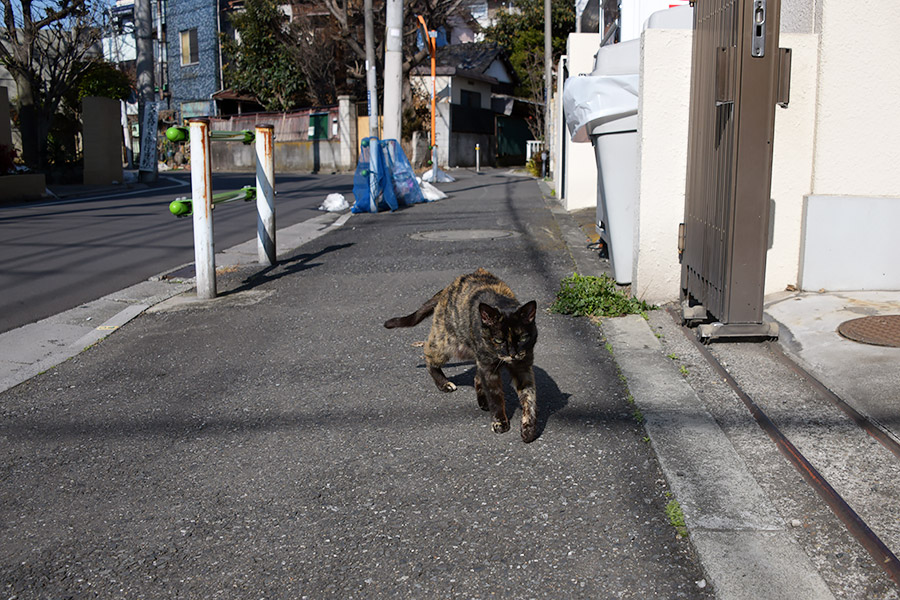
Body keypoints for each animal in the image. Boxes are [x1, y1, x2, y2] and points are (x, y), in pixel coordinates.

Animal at [384, 270, 536, 442]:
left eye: (523, 338)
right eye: (498, 340)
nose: (513, 354)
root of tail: (448, 288)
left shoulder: (523, 367)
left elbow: (529, 397)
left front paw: (529, 428)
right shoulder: (489, 369)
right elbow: (496, 396)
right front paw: (500, 422)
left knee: (476, 376)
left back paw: (482, 401)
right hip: (447, 344)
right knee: (428, 354)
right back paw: (443, 384)